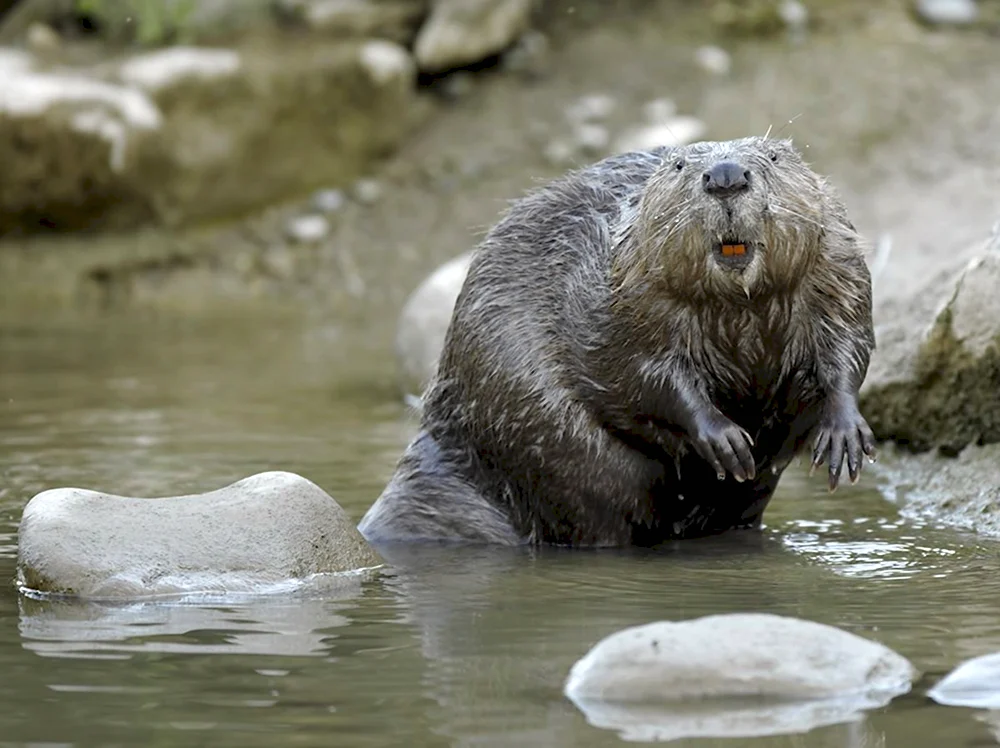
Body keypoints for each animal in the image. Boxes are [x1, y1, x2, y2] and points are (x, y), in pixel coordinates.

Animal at [362, 137, 876, 548]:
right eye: (679, 166)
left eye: (772, 156)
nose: (726, 176)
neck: (741, 305)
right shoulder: (621, 292)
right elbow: (640, 371)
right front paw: (726, 440)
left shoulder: (839, 267)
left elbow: (850, 343)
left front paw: (844, 436)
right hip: (559, 447)